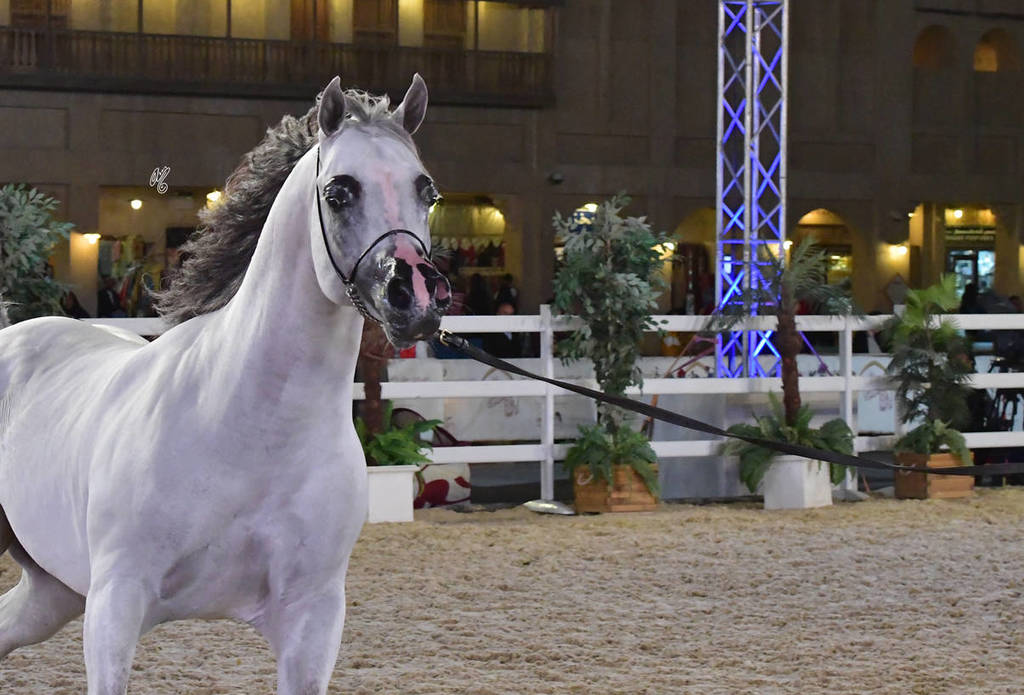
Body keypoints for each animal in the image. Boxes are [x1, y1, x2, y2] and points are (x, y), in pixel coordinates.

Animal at [0, 74, 450, 694]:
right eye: (339, 192)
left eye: (427, 192)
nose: (418, 297)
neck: (246, 426)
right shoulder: (115, 604)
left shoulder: (312, 619)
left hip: (50, 591)